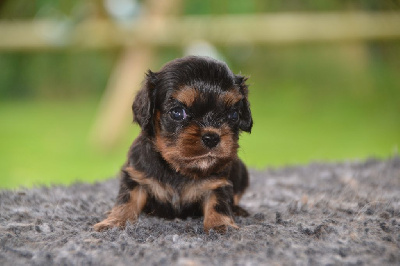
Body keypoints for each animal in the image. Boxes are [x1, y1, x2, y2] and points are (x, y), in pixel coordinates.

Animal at [94, 56, 253, 233]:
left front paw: (221, 225)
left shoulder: (218, 183)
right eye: (177, 113)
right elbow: (126, 199)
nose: (211, 137)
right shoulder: (135, 176)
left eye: (233, 115)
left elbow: (218, 204)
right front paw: (114, 222)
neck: (178, 170)